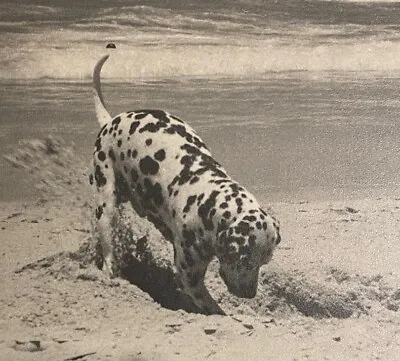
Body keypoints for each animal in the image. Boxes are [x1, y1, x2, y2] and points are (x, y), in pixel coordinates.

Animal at [90, 45, 282, 316]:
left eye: (265, 260)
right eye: (244, 259)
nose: (250, 294)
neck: (207, 201)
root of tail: (111, 121)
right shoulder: (189, 276)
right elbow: (213, 308)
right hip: (106, 204)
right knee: (108, 244)